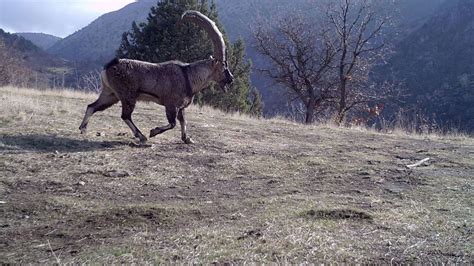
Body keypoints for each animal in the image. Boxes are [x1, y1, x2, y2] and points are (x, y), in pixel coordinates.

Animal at [78, 10, 234, 143]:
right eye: (223, 67)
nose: (231, 79)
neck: (188, 76)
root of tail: (109, 66)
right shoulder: (171, 104)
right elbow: (172, 123)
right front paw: (153, 132)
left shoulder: (181, 107)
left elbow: (183, 121)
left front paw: (187, 139)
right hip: (127, 96)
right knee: (125, 115)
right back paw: (141, 136)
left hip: (111, 94)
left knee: (92, 106)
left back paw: (83, 129)